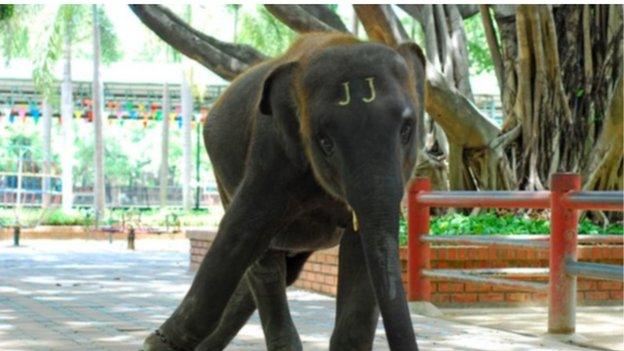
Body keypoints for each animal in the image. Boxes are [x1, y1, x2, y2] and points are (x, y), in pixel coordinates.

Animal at [143, 32, 424, 351]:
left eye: (407, 129)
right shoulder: (271, 154)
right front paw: (156, 344)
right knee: (264, 267)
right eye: (325, 142)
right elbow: (240, 232)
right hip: (222, 176)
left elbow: (361, 255)